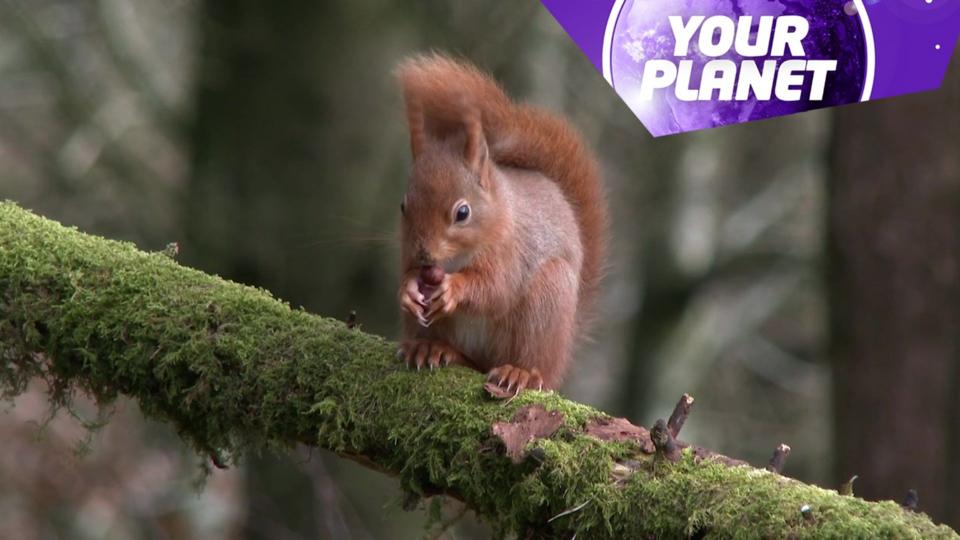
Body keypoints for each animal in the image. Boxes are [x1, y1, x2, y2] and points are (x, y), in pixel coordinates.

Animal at [394, 54, 607, 393]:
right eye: (403, 206)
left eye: (462, 213)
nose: (425, 255)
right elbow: (408, 272)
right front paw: (409, 287)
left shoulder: (512, 250)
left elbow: (496, 288)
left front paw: (454, 288)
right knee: (465, 357)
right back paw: (431, 347)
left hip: (547, 301)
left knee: (529, 363)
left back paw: (519, 373)